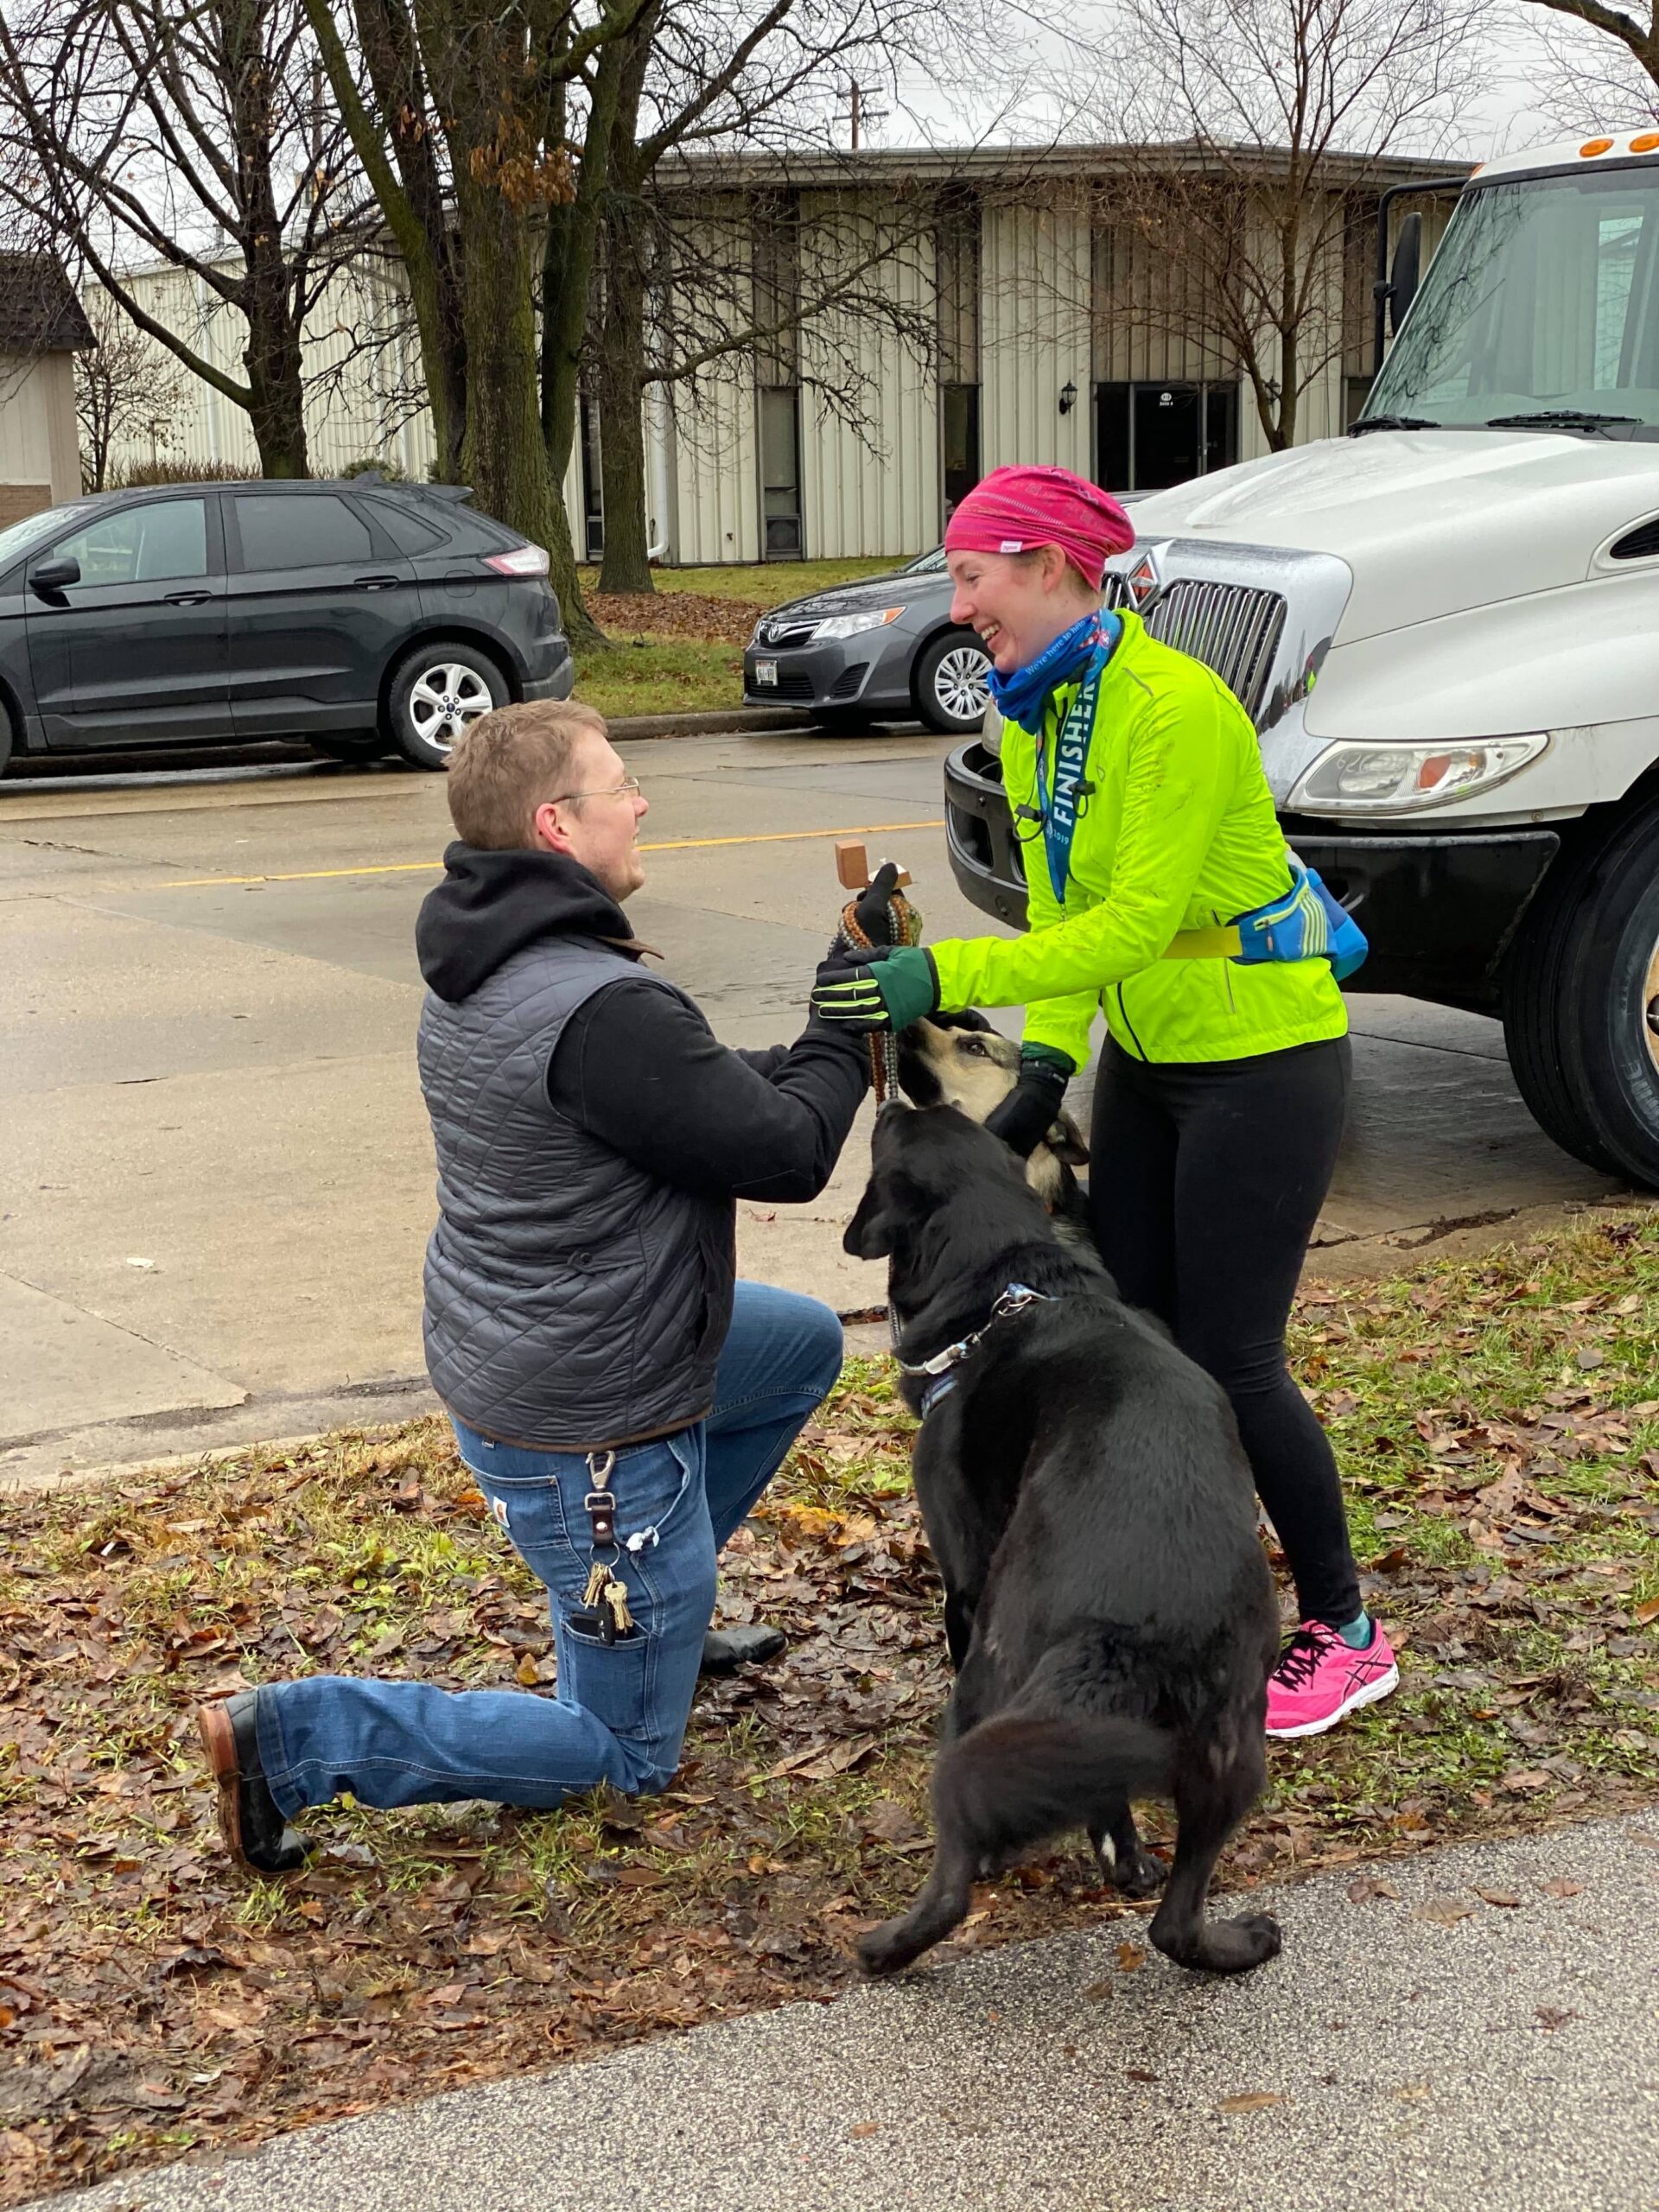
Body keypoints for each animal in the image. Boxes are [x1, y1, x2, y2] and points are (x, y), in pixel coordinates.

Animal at [844, 1106, 1282, 1991]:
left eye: (890, 1139)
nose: (893, 1103)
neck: (1011, 1283)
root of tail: (1132, 1627)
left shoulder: (965, 1585)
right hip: (1227, 1748)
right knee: (1174, 1921)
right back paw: (1232, 1939)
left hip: (990, 1676)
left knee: (957, 1876)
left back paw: (887, 1946)